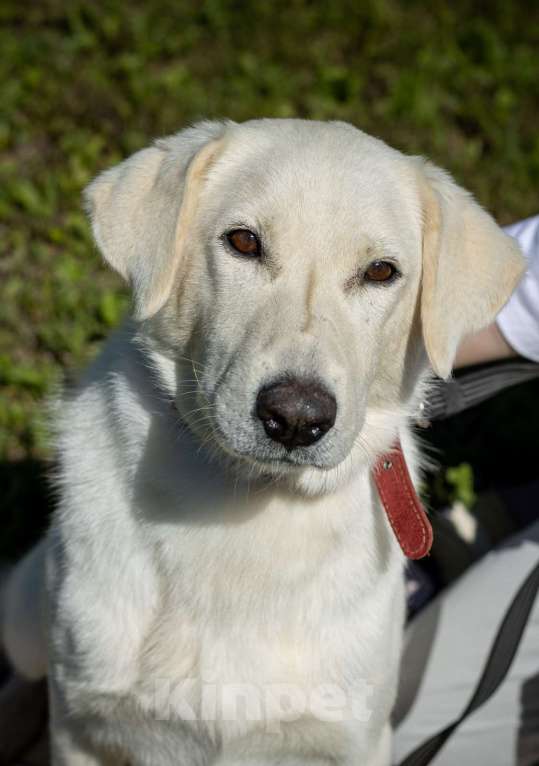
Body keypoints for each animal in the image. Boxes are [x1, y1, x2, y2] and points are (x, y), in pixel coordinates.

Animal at [0, 120, 524, 766]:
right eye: (244, 242)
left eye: (381, 272)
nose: (296, 418)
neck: (248, 513)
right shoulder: (84, 731)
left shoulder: (353, 739)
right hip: (24, 617)